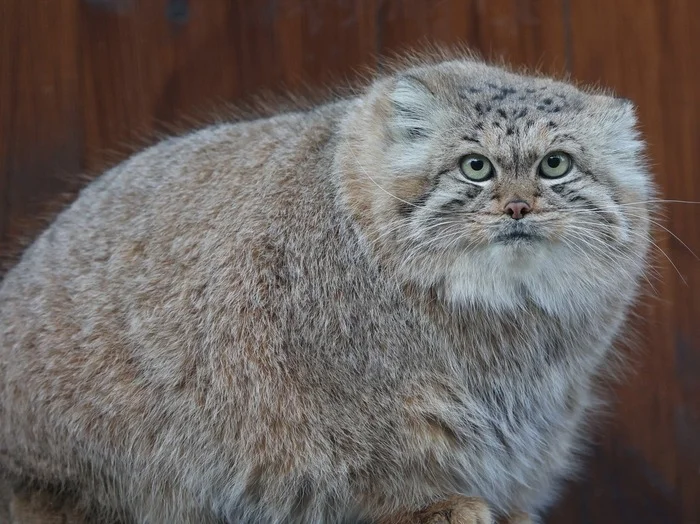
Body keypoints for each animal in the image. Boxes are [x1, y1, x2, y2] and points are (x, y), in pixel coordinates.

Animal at [2, 48, 652, 520]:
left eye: (555, 164)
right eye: (476, 167)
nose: (518, 207)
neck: (498, 314)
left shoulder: (548, 410)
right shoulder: (349, 407)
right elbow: (376, 465)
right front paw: (433, 506)